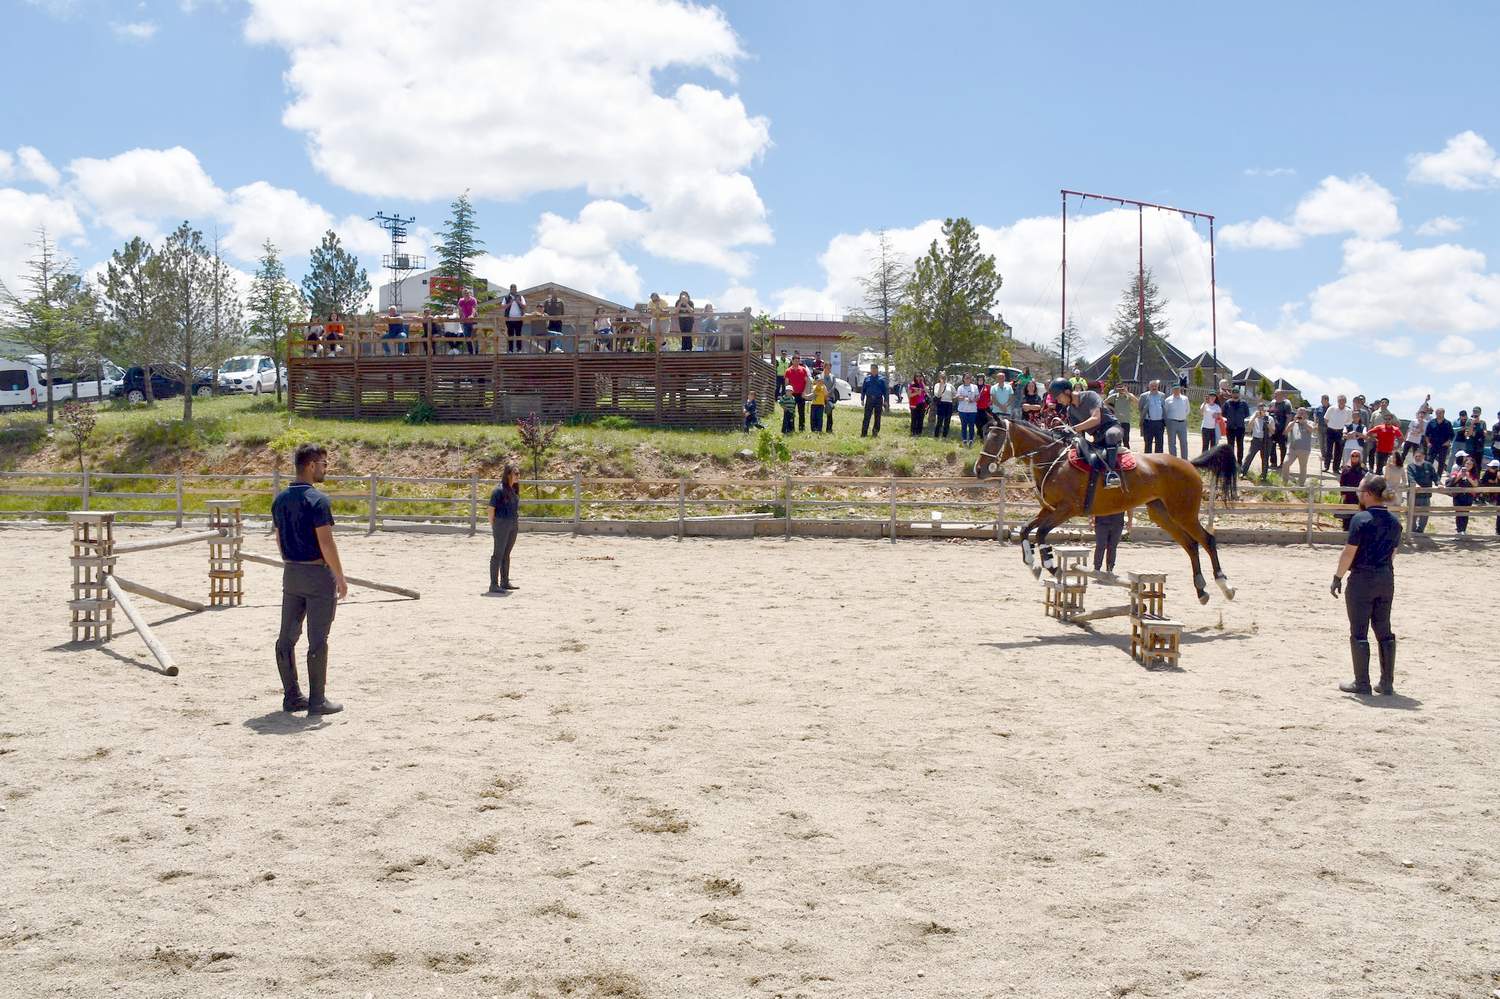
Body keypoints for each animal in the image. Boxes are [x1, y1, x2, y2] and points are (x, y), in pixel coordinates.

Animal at [972, 414, 1242, 603]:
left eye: (996, 438)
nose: (979, 469)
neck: (1053, 459)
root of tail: (1189, 463)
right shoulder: (1048, 509)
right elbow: (1026, 530)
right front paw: (1034, 564)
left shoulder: (1066, 509)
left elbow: (1040, 534)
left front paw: (1051, 566)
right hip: (1161, 514)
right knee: (1191, 545)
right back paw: (1201, 590)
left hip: (1183, 513)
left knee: (1207, 540)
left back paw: (1225, 586)